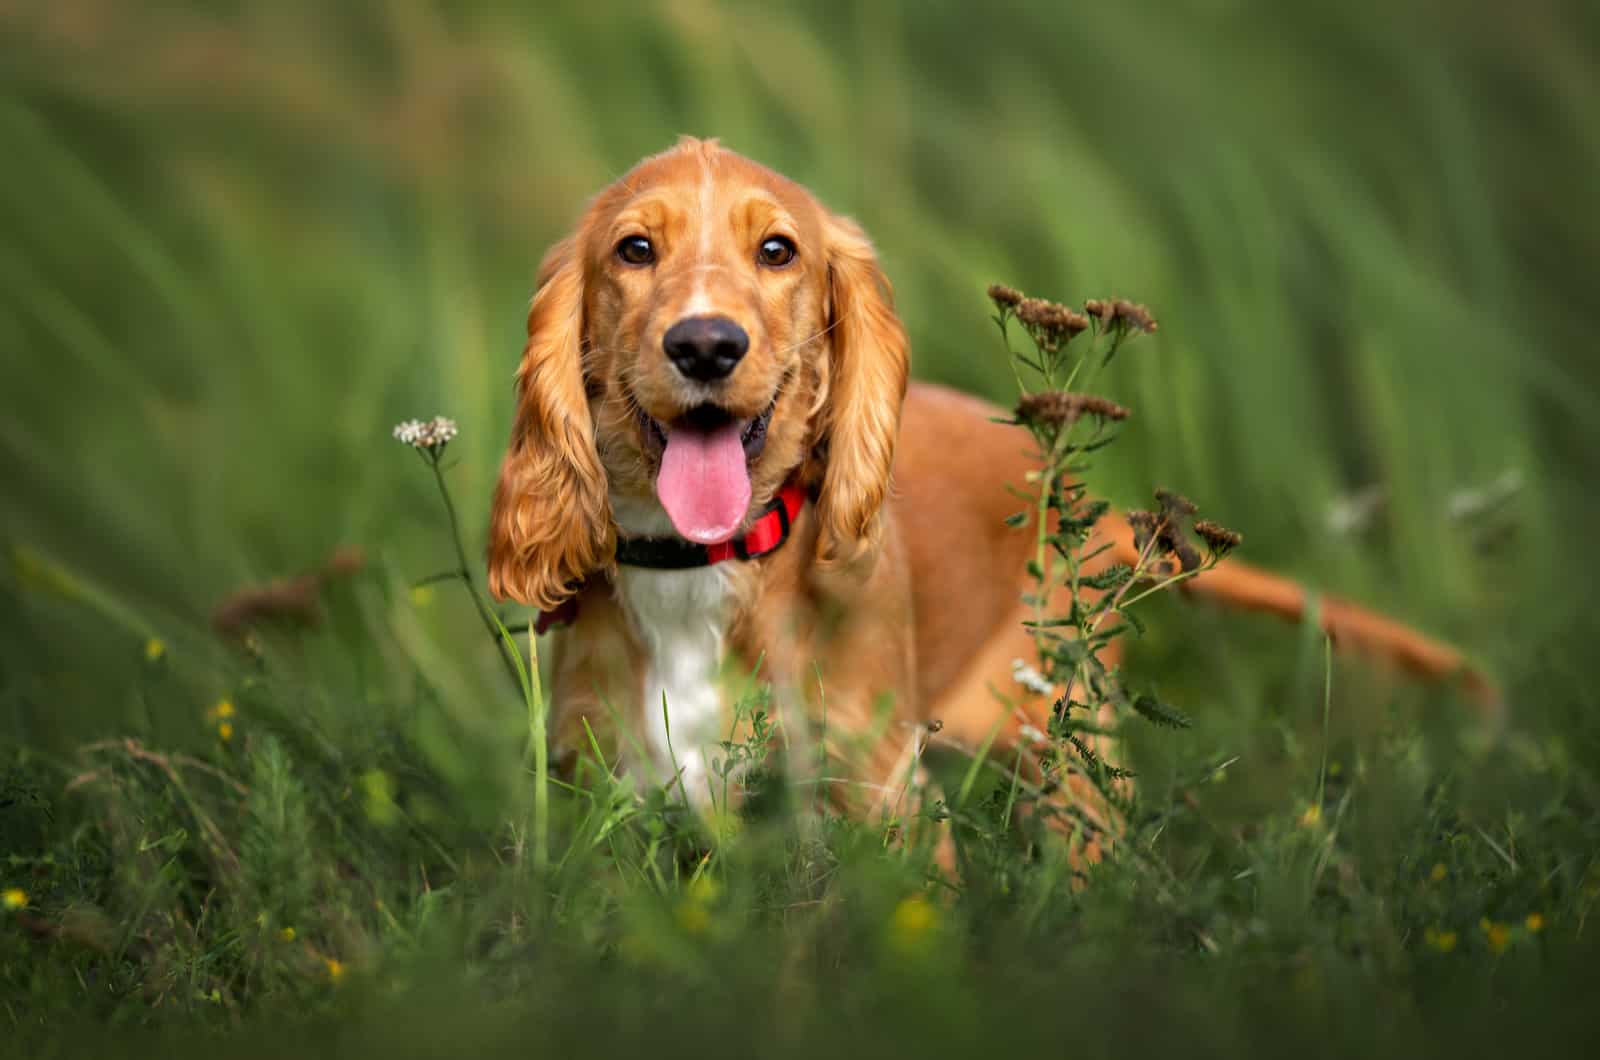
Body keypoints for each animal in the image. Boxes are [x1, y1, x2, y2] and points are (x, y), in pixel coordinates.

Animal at [480, 139, 1491, 839]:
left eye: (777, 250)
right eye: (633, 250)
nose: (704, 345)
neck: (699, 571)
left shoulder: (877, 801)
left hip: (1070, 754)